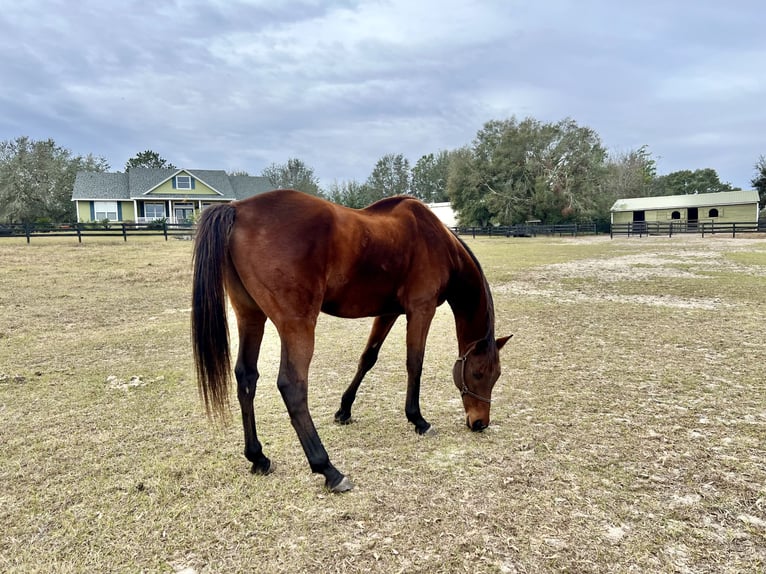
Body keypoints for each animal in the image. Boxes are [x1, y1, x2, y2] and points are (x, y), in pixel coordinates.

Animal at [190, 190, 510, 496]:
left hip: (251, 316)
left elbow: (368, 358)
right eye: (478, 373)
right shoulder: (421, 310)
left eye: (496, 376)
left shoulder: (389, 312)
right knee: (292, 386)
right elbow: (414, 363)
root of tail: (238, 208)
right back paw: (328, 469)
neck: (438, 242)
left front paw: (344, 410)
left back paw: (258, 457)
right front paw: (418, 419)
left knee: (247, 377)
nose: (480, 422)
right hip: (297, 325)